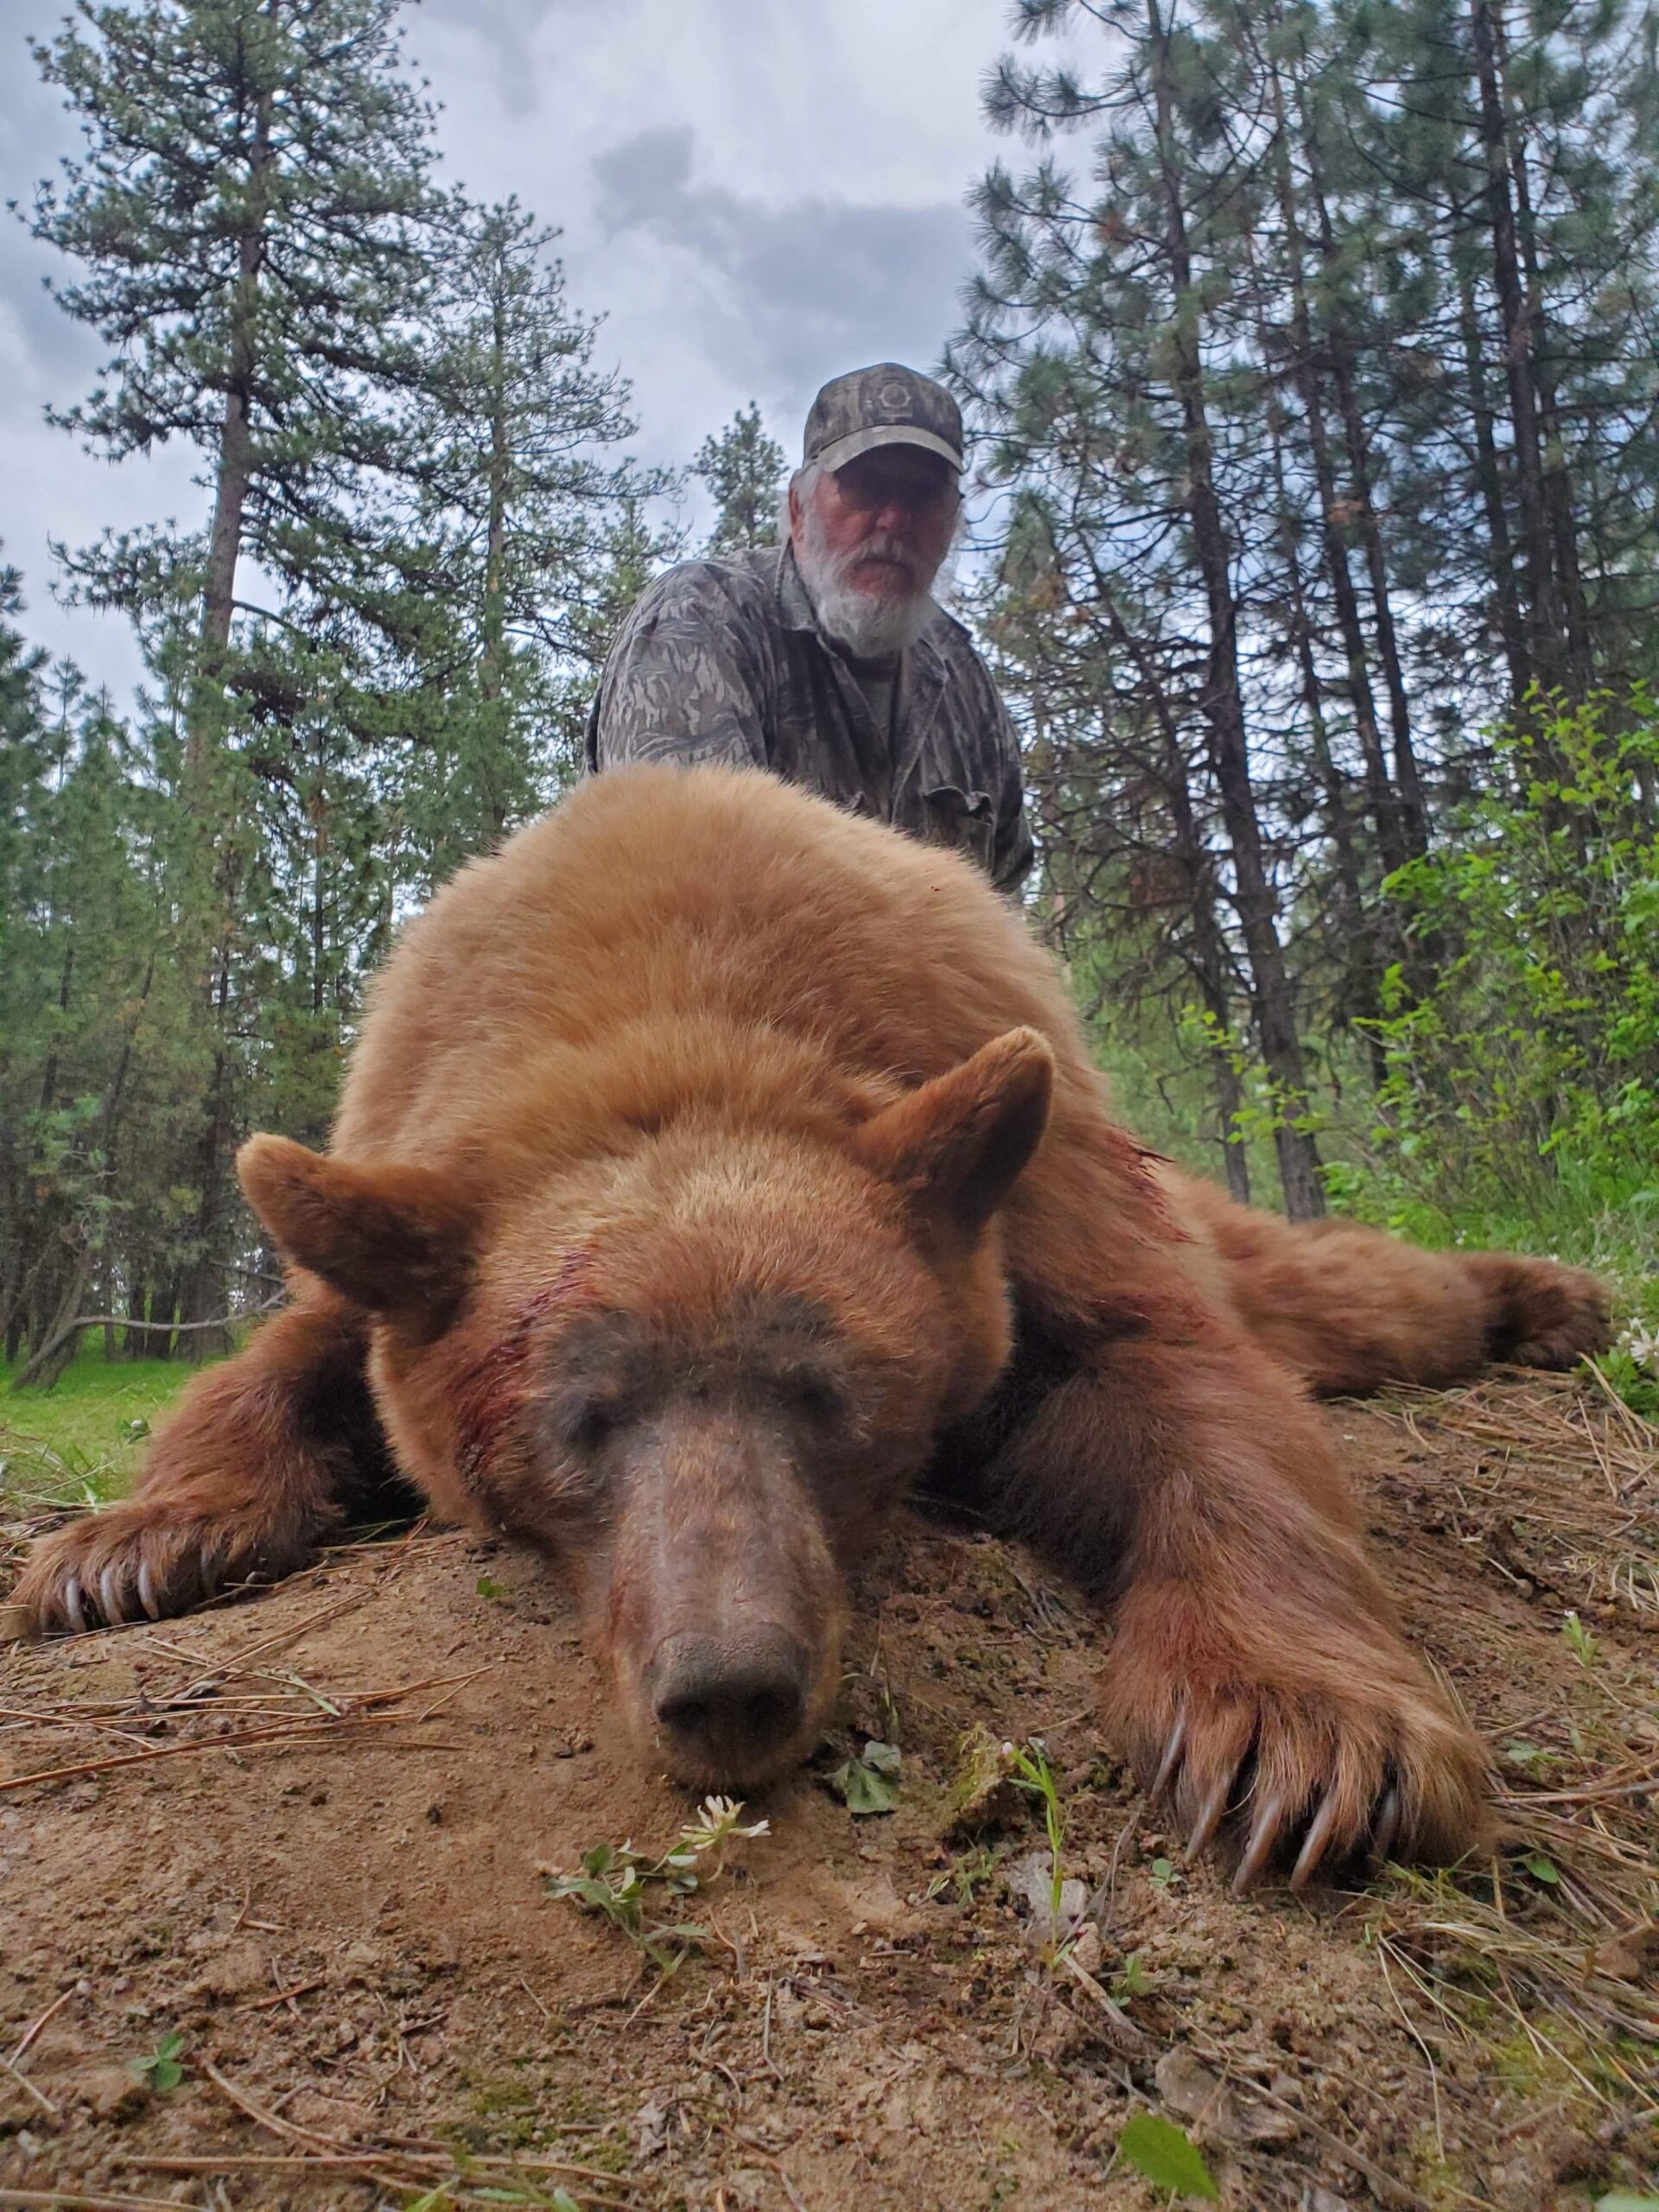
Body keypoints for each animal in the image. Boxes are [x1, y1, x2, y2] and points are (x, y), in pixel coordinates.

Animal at [13, 760, 1610, 1885]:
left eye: (829, 1397)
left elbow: (1184, 1391)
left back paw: (1556, 1298)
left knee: (1344, 1299)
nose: (727, 1689)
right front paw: (123, 1548)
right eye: (579, 1422)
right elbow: (282, 1359)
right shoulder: (420, 1188)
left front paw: (1309, 1730)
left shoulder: (1021, 1188)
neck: (661, 1008)